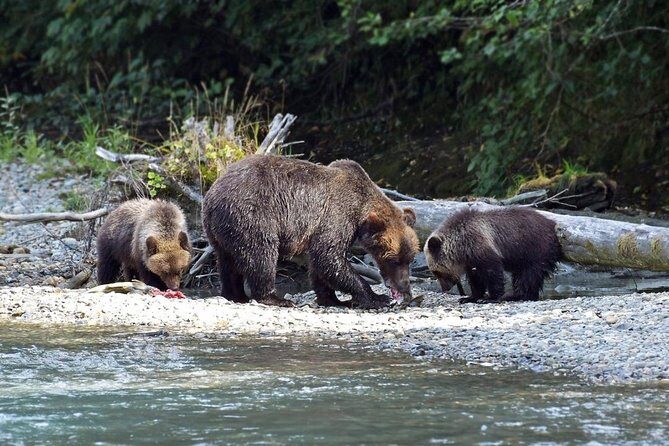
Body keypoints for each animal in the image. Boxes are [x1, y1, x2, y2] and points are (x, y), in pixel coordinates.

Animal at [201, 155, 419, 309]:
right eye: (393, 260)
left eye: (409, 259)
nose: (404, 287)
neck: (361, 210)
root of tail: (211, 195)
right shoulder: (337, 214)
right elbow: (328, 256)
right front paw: (377, 298)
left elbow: (320, 264)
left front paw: (332, 299)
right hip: (252, 215)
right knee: (261, 255)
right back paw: (275, 298)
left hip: (222, 230)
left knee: (227, 261)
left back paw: (235, 295)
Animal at [424, 206, 561, 303]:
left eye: (437, 272)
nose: (444, 288)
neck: (461, 247)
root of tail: (552, 224)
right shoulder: (471, 260)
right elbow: (475, 278)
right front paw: (469, 297)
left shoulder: (480, 245)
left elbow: (492, 272)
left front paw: (490, 298)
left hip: (534, 248)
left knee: (529, 274)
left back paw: (516, 295)